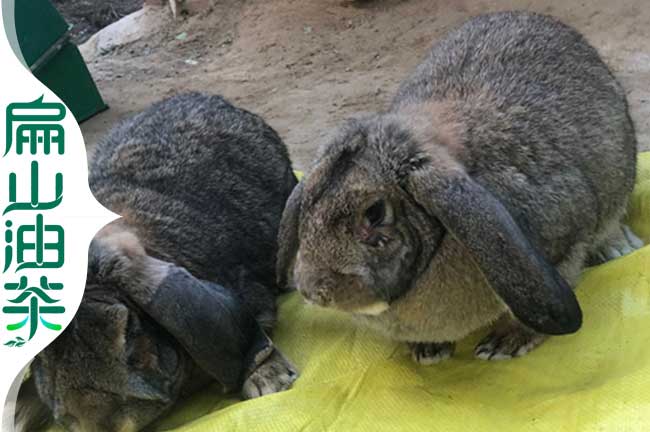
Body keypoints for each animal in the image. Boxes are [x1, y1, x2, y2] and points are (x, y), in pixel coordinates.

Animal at [276, 11, 640, 364]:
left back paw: (619, 248)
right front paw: (428, 352)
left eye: (375, 213)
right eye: (309, 205)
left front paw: (504, 344)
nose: (312, 289)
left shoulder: (564, 245)